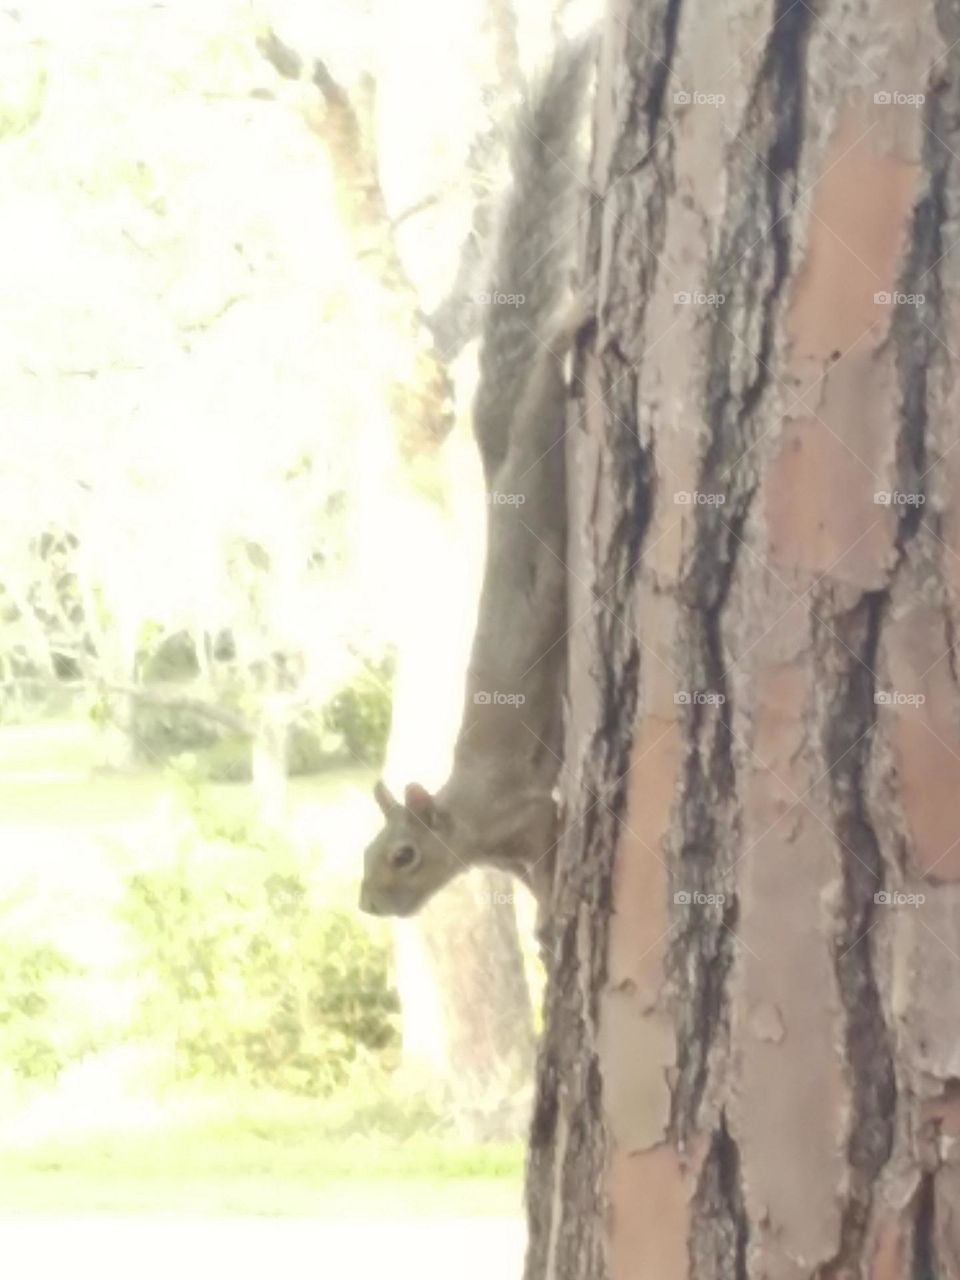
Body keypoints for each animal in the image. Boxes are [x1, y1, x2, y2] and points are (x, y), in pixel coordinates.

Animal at [359, 35, 595, 931]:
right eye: (370, 855)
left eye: (402, 855)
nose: (369, 905)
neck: (464, 821)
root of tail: (498, 479)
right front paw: (545, 915)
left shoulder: (523, 811)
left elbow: (550, 838)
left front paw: (555, 903)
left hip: (539, 447)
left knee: (543, 377)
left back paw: (573, 317)